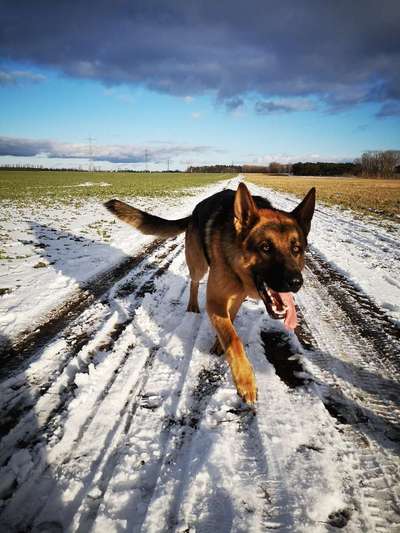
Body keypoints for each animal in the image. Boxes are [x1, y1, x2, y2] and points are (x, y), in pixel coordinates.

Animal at [105, 183, 316, 404]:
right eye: (265, 247)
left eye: (296, 249)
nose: (296, 282)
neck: (236, 264)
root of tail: (195, 211)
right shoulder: (215, 301)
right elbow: (233, 338)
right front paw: (245, 380)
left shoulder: (236, 298)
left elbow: (230, 323)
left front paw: (219, 344)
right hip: (198, 266)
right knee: (194, 282)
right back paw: (192, 305)